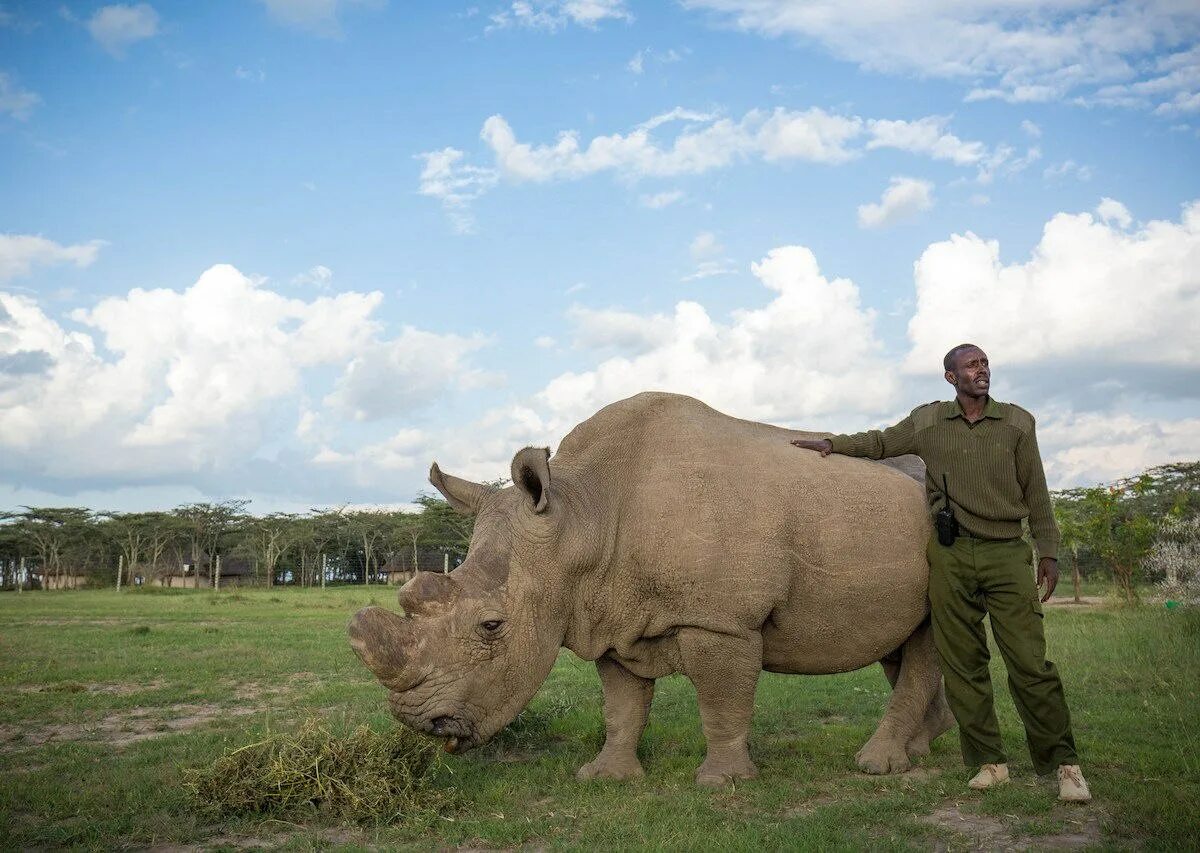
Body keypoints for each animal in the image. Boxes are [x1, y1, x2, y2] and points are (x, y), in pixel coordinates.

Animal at [350, 393, 955, 787]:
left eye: (492, 625)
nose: (419, 722)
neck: (582, 516)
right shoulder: (607, 614)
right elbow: (622, 706)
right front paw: (605, 777)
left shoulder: (720, 619)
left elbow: (721, 699)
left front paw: (721, 783)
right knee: (901, 644)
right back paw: (922, 751)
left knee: (927, 640)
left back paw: (876, 766)